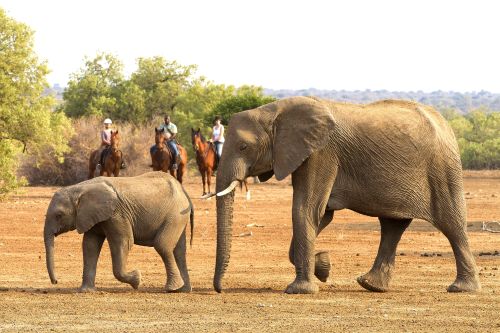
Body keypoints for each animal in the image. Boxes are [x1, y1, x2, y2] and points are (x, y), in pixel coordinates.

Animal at [43, 171, 193, 290]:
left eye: (59, 215)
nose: (56, 281)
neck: (79, 189)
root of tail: (183, 190)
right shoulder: (92, 216)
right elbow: (90, 245)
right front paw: (85, 291)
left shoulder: (117, 214)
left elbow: (123, 242)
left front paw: (137, 280)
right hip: (178, 217)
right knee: (179, 251)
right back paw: (182, 290)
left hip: (175, 215)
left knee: (163, 245)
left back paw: (171, 289)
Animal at [214, 96, 480, 294]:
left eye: (243, 147)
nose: (219, 290)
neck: (274, 111)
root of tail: (445, 123)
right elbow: (321, 214)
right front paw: (323, 266)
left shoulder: (321, 153)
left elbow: (306, 209)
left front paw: (300, 289)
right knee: (393, 226)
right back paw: (371, 285)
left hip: (443, 168)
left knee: (452, 224)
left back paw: (461, 288)